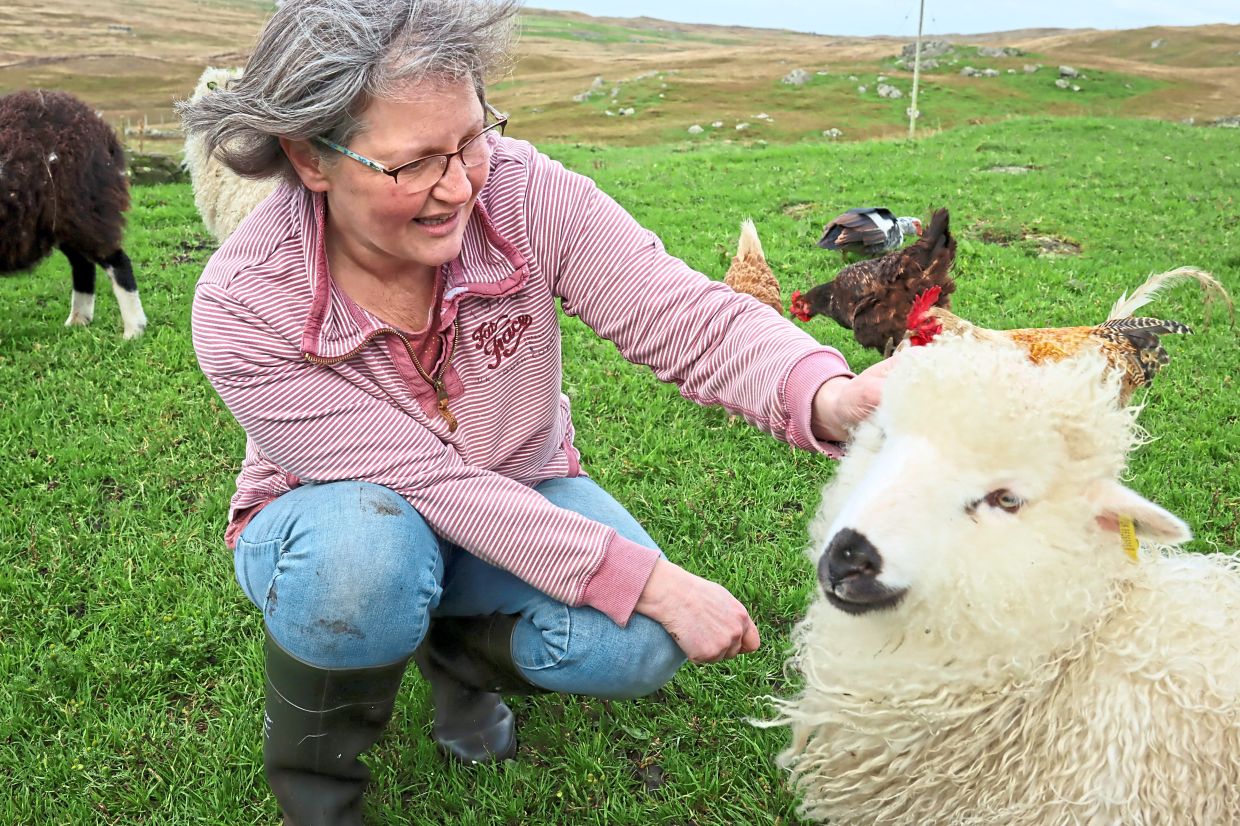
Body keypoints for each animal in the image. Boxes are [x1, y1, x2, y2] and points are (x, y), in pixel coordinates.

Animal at [0, 90, 147, 338]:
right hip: (62, 220)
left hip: (86, 208)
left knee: (117, 262)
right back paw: (79, 320)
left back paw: (134, 330)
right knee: (83, 265)